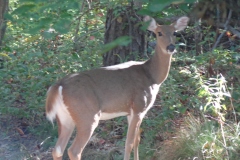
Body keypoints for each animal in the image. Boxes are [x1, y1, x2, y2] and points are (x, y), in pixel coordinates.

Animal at [46, 15, 189, 160]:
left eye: (175, 33)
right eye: (159, 33)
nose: (171, 47)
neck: (152, 76)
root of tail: (58, 86)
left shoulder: (131, 111)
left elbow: (137, 140)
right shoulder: (139, 106)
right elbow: (129, 143)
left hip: (64, 118)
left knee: (57, 149)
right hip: (87, 115)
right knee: (74, 150)